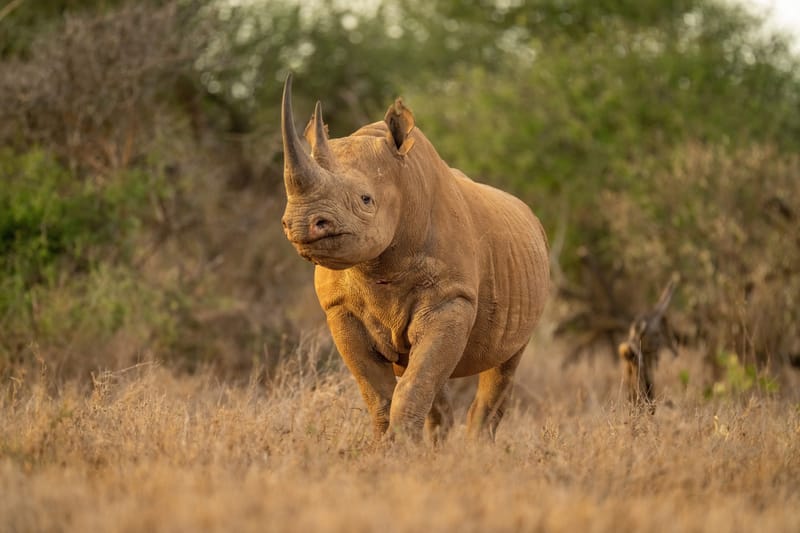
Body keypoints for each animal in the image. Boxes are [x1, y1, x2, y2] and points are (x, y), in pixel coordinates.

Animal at [280, 74, 550, 443]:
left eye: (366, 200)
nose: (300, 223)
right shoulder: (339, 308)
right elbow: (380, 394)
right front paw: (387, 448)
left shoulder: (451, 298)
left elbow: (413, 385)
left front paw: (400, 447)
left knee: (504, 364)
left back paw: (476, 449)